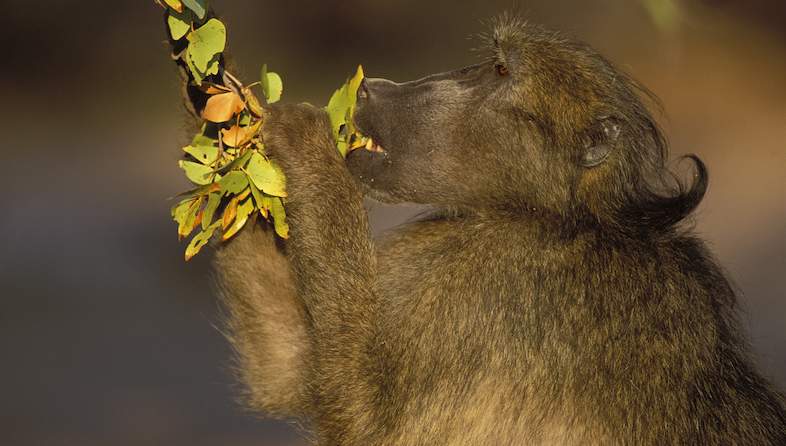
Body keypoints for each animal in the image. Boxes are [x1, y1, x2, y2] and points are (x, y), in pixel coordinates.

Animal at [166, 9, 786, 446]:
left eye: (502, 71)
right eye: (486, 62)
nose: (373, 87)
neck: (550, 215)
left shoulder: (506, 288)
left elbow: (367, 419)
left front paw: (301, 143)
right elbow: (290, 370)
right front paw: (218, 105)